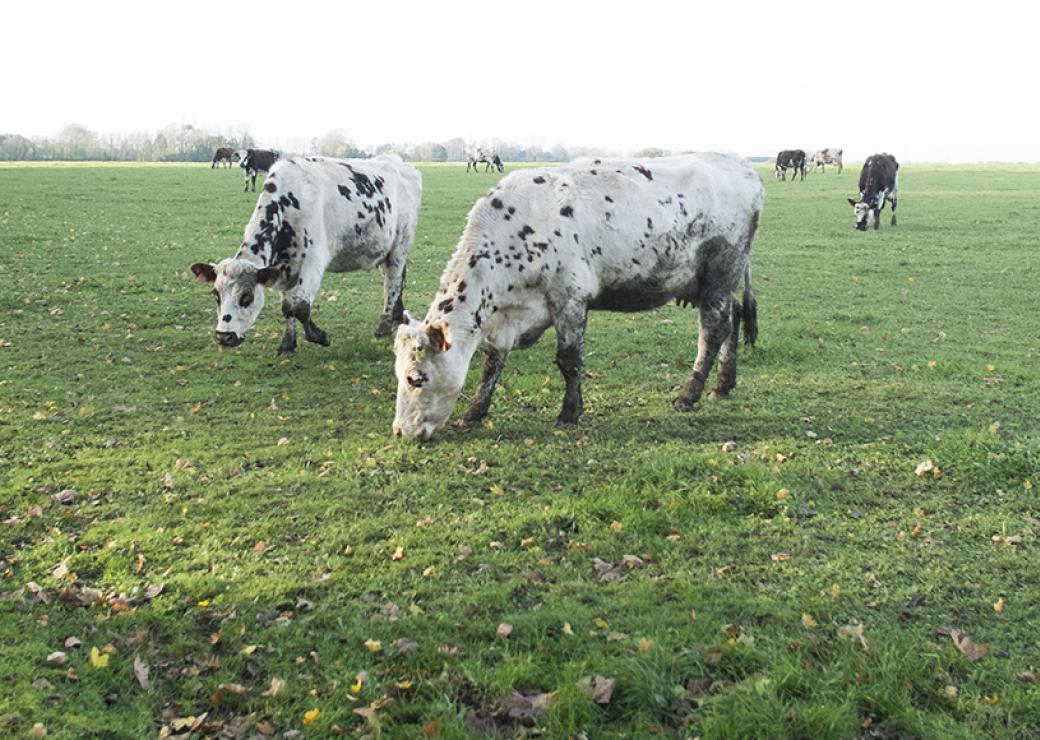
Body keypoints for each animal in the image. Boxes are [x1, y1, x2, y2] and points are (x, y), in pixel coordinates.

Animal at [191, 154, 422, 353]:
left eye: (247, 296)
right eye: (216, 295)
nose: (224, 337)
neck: (288, 204)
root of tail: (401, 163)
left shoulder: (313, 262)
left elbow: (300, 307)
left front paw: (320, 336)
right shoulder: (283, 268)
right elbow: (287, 307)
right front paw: (287, 344)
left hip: (400, 244)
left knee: (393, 282)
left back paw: (384, 324)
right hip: (385, 251)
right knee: (397, 279)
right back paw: (397, 317)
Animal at [391, 151, 765, 438]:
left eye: (416, 378)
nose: (399, 431)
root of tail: (742, 167)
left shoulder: (569, 298)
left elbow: (569, 359)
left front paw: (569, 412)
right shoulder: (505, 318)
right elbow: (491, 364)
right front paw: (474, 412)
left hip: (721, 271)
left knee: (713, 331)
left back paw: (689, 394)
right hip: (716, 283)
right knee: (732, 320)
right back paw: (723, 384)